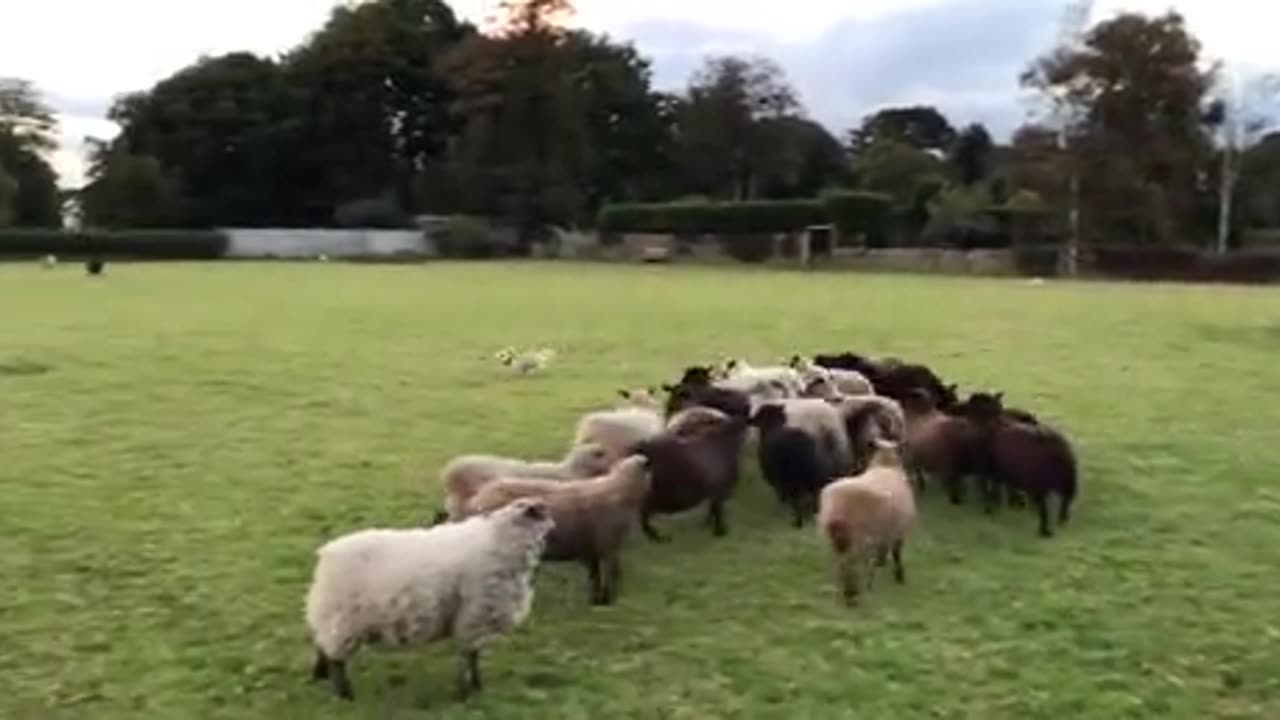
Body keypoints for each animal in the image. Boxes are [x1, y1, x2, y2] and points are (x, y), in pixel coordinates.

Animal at [308, 497, 555, 696]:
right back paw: (344, 694)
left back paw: (320, 675)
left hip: (331, 612)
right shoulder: (475, 615)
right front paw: (468, 690)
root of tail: (327, 554)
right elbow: (470, 655)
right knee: (336, 657)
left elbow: (471, 654)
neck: (501, 539)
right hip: (344, 616)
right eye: (541, 511)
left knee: (323, 643)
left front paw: (473, 687)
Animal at [458, 453, 650, 599]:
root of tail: (476, 500)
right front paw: (607, 599)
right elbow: (612, 573)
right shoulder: (608, 544)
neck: (617, 489)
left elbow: (594, 574)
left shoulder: (591, 547)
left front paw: (595, 598)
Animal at [814, 438, 916, 604]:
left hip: (831, 537)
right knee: (849, 564)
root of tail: (838, 508)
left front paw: (880, 564)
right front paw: (900, 576)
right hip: (856, 537)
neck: (885, 465)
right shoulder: (900, 530)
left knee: (840, 563)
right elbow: (897, 554)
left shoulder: (886, 531)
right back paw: (852, 595)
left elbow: (883, 550)